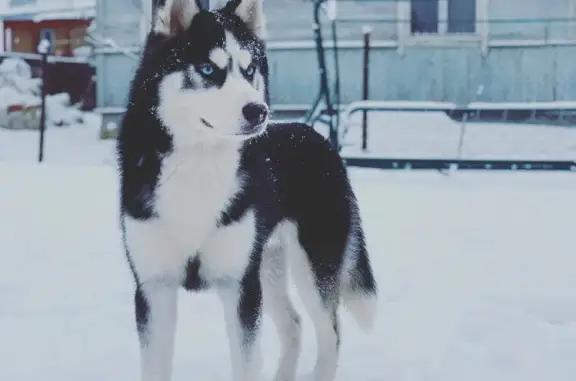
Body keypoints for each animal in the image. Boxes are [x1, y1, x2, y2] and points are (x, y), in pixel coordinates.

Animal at [117, 0, 378, 380]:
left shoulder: (240, 287)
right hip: (267, 267)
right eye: (208, 68)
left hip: (311, 267)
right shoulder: (154, 287)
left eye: (250, 68)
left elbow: (247, 362)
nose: (258, 111)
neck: (198, 166)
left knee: (330, 334)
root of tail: (318, 138)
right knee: (294, 325)